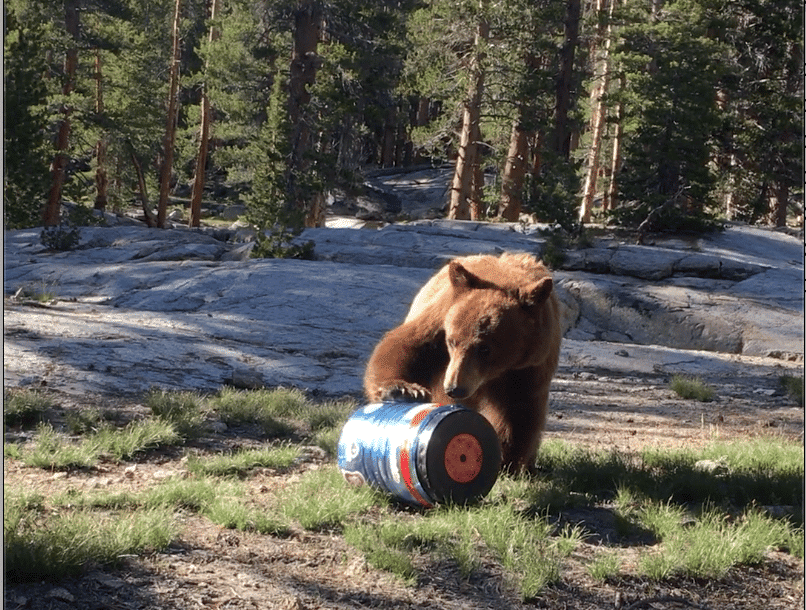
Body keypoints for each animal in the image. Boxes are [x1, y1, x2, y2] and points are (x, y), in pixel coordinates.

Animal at [363, 252, 562, 473]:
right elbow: (403, 347)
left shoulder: (529, 367)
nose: (454, 388)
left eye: (485, 348)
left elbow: (519, 411)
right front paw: (402, 390)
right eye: (452, 341)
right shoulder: (439, 320)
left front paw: (507, 459)